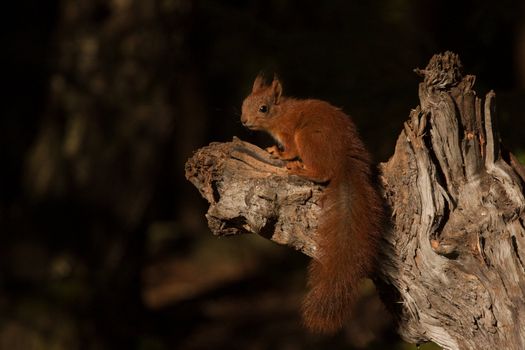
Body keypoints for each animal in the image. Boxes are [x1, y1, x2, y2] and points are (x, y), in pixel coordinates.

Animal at [239, 76, 382, 334]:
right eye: (245, 102)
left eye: (263, 108)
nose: (244, 121)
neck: (282, 113)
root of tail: (344, 161)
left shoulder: (288, 133)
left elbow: (289, 151)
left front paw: (280, 154)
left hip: (308, 137)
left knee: (322, 173)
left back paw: (300, 168)